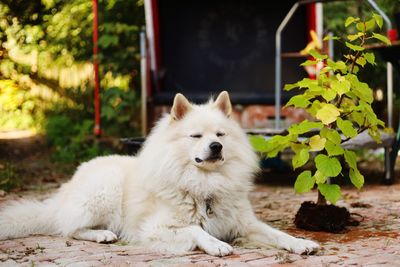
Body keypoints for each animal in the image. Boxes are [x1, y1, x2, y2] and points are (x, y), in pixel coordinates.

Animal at [0, 92, 318, 258]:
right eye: (196, 136)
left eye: (220, 135)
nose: (216, 147)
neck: (204, 185)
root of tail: (65, 190)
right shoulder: (154, 228)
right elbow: (194, 229)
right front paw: (216, 244)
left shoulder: (244, 223)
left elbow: (276, 233)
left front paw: (300, 243)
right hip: (105, 190)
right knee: (70, 228)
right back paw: (102, 234)